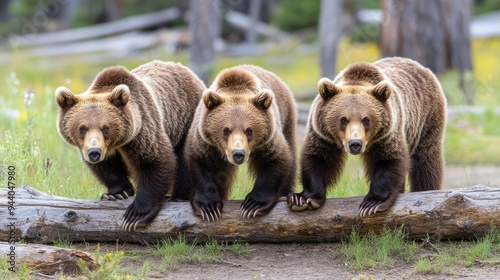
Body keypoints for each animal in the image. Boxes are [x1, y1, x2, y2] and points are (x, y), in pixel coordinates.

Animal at [57, 60, 207, 231]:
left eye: (105, 127)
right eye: (82, 128)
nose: (94, 152)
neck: (117, 143)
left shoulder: (142, 128)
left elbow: (155, 161)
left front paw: (135, 215)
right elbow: (106, 168)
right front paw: (116, 193)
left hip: (187, 120)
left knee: (186, 159)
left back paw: (178, 196)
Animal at [185, 65, 296, 221]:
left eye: (249, 130)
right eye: (226, 130)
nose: (238, 154)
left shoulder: (269, 139)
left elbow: (277, 159)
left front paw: (252, 205)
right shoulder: (205, 141)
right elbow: (200, 162)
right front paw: (208, 207)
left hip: (287, 118)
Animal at [288, 56, 448, 217]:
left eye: (366, 119)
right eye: (343, 119)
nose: (355, 143)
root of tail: (418, 65)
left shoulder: (387, 134)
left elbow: (388, 160)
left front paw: (372, 203)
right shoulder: (323, 135)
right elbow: (319, 158)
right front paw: (303, 199)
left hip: (426, 119)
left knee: (426, 161)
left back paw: (425, 189)